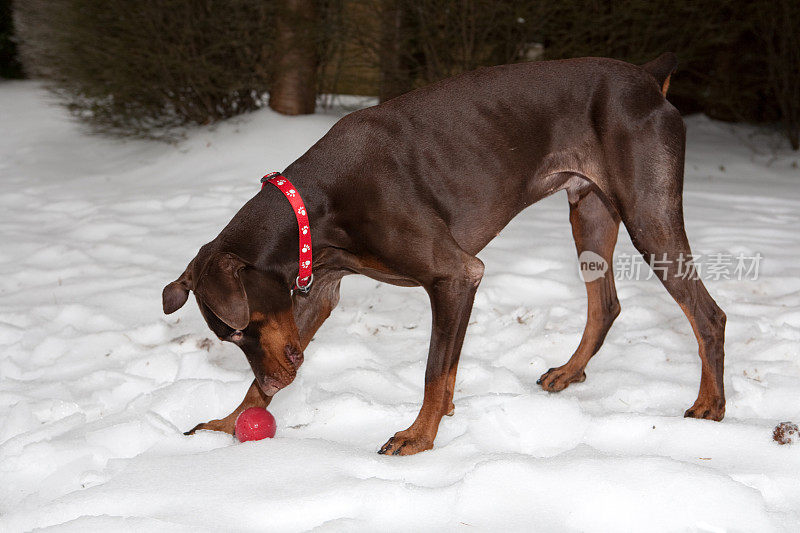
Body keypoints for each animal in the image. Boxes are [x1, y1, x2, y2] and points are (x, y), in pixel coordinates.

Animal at [162, 53, 724, 454]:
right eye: (230, 338)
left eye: (243, 331)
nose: (278, 379)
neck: (314, 204)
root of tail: (648, 79)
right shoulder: (314, 293)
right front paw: (229, 422)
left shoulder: (455, 275)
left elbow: (435, 369)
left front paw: (419, 436)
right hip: (589, 212)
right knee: (605, 304)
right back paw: (569, 371)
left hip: (648, 217)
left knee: (708, 315)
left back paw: (709, 406)